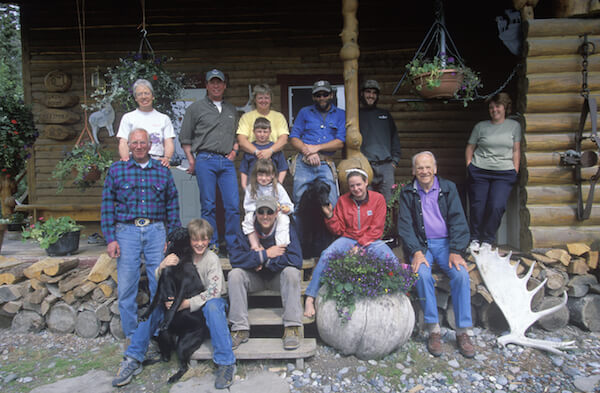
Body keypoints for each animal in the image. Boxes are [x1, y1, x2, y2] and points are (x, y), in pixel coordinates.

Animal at [139, 225, 206, 382]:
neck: (178, 254)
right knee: (165, 358)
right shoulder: (161, 284)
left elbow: (174, 304)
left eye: (184, 231)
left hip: (183, 345)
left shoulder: (183, 286)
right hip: (164, 337)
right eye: (177, 230)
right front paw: (145, 314)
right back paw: (148, 361)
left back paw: (174, 377)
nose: (182, 230)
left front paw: (166, 320)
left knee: (184, 367)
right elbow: (154, 301)